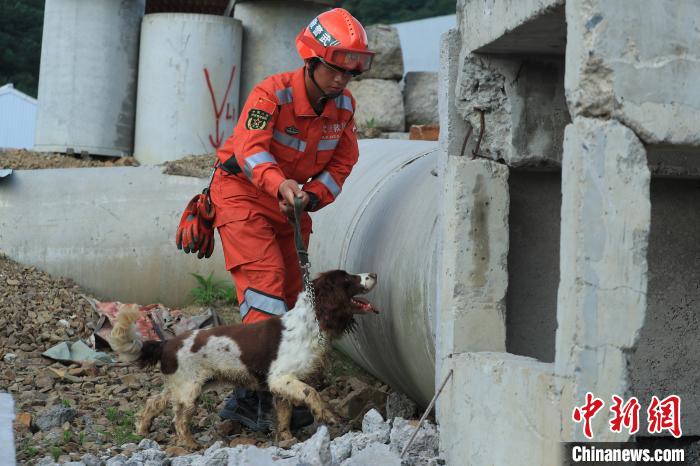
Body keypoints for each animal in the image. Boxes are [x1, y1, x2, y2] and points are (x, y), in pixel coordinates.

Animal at [110, 270, 378, 448]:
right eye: (349, 279)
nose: (374, 273)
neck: (310, 322)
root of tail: (167, 343)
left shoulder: (280, 385)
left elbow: (284, 416)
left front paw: (287, 439)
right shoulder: (281, 378)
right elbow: (311, 393)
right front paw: (328, 415)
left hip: (180, 385)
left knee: (153, 402)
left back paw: (143, 429)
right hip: (189, 390)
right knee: (179, 420)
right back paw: (191, 444)